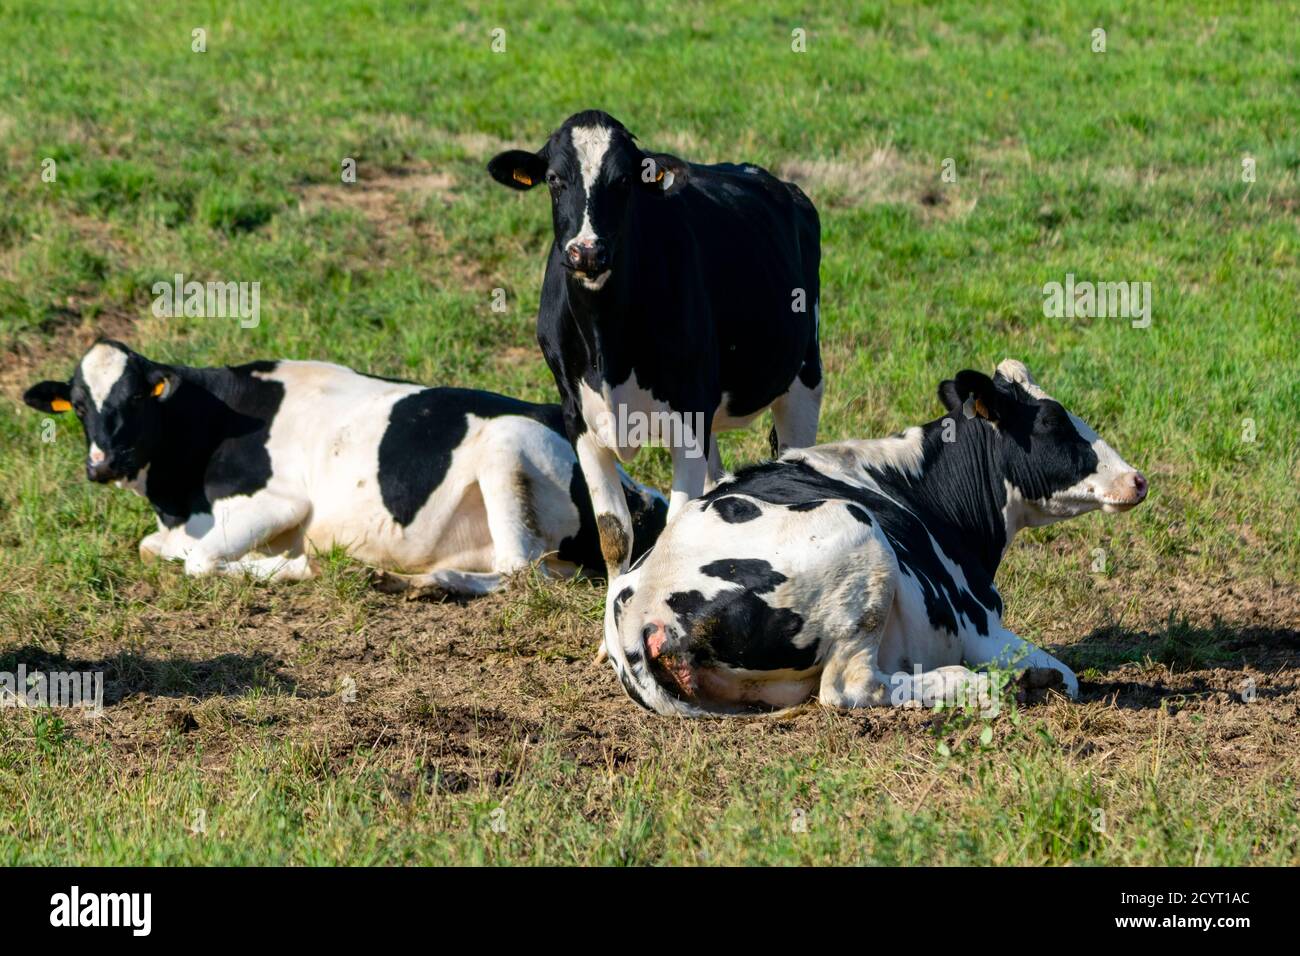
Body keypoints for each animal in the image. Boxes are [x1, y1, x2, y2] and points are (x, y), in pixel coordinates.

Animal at [24, 335, 665, 590]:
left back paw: (419, 583)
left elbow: (200, 564)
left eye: (136, 398)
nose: (102, 463)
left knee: (519, 569)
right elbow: (151, 548)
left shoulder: (280, 502)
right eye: (78, 405)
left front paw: (287, 567)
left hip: (506, 448)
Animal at [488, 110, 821, 574]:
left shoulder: (689, 412)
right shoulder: (578, 417)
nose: (586, 252)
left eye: (624, 180)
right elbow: (613, 533)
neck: (606, 348)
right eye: (554, 179)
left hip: (804, 376)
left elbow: (672, 527)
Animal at [600, 361, 1149, 717]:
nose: (1137, 479)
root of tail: (641, 609)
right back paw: (968, 686)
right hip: (858, 539)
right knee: (850, 688)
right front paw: (1030, 680)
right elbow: (1067, 675)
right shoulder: (980, 626)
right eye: (1055, 421)